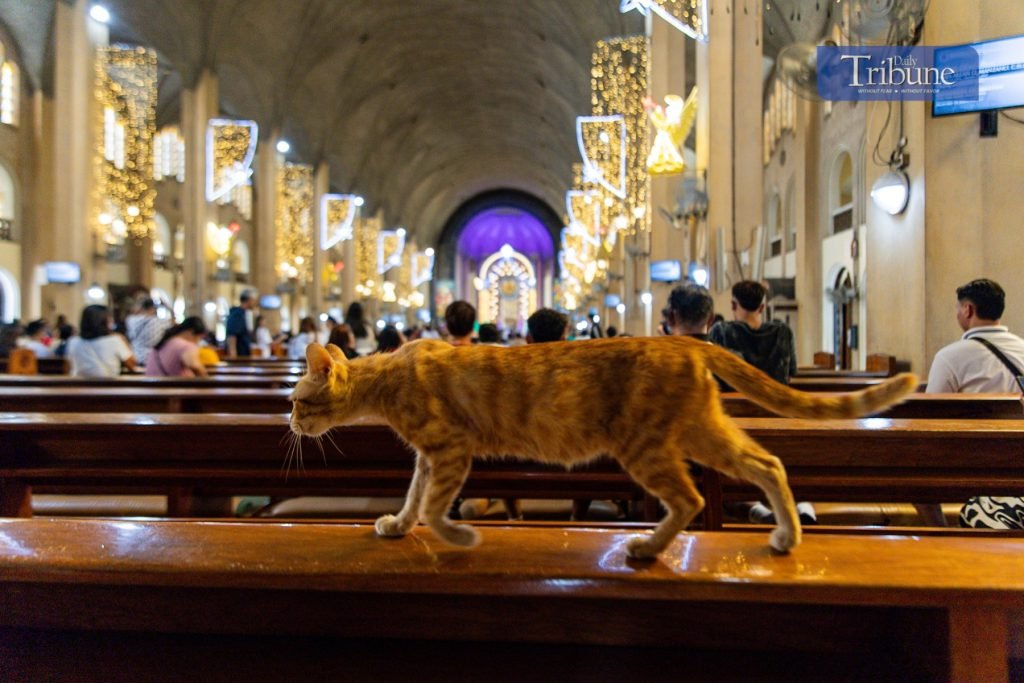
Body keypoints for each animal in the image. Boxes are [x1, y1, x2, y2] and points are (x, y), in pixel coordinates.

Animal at [290, 339, 921, 557]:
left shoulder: (450, 449)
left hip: (645, 446)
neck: (387, 378)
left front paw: (460, 537)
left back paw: (645, 548)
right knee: (768, 463)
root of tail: (686, 340)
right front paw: (396, 526)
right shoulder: (429, 456)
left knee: (691, 500)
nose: (288, 423)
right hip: (701, 433)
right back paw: (786, 538)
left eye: (297, 402)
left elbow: (438, 507)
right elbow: (414, 498)